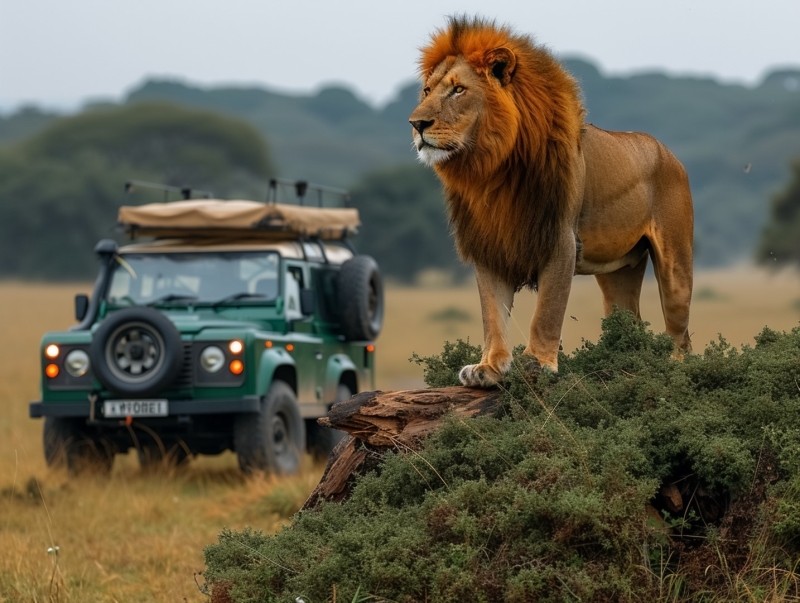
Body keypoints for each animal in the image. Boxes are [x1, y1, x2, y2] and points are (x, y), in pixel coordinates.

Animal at [410, 17, 692, 392]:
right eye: (427, 91)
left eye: (458, 90)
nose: (417, 124)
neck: (491, 169)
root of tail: (668, 151)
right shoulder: (489, 245)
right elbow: (492, 314)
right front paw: (489, 367)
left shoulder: (559, 239)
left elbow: (547, 310)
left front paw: (537, 363)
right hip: (619, 271)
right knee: (629, 319)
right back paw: (621, 364)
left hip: (676, 268)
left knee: (681, 334)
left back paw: (674, 369)